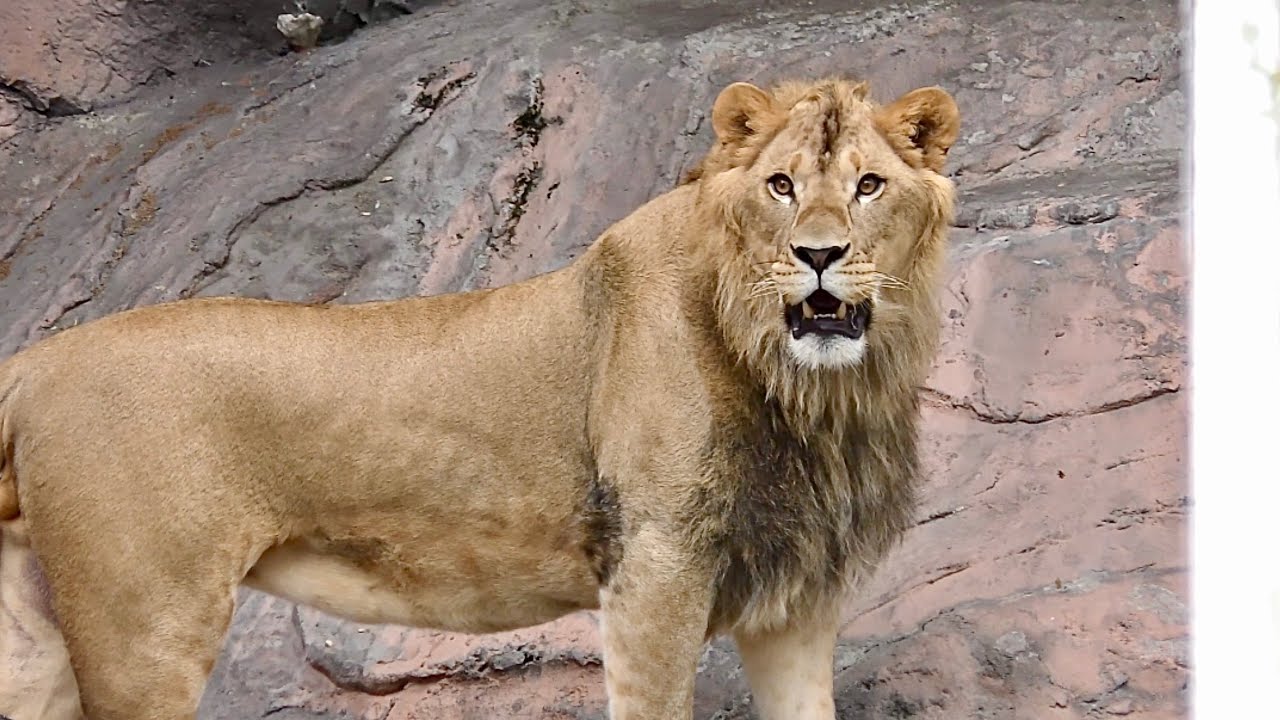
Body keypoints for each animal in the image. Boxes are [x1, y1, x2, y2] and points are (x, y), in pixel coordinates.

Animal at [0, 76, 958, 720]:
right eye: (780, 185)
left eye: (869, 185)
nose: (819, 255)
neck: (814, 392)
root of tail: (34, 359)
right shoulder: (654, 571)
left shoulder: (796, 600)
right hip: (143, 631)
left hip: (33, 636)